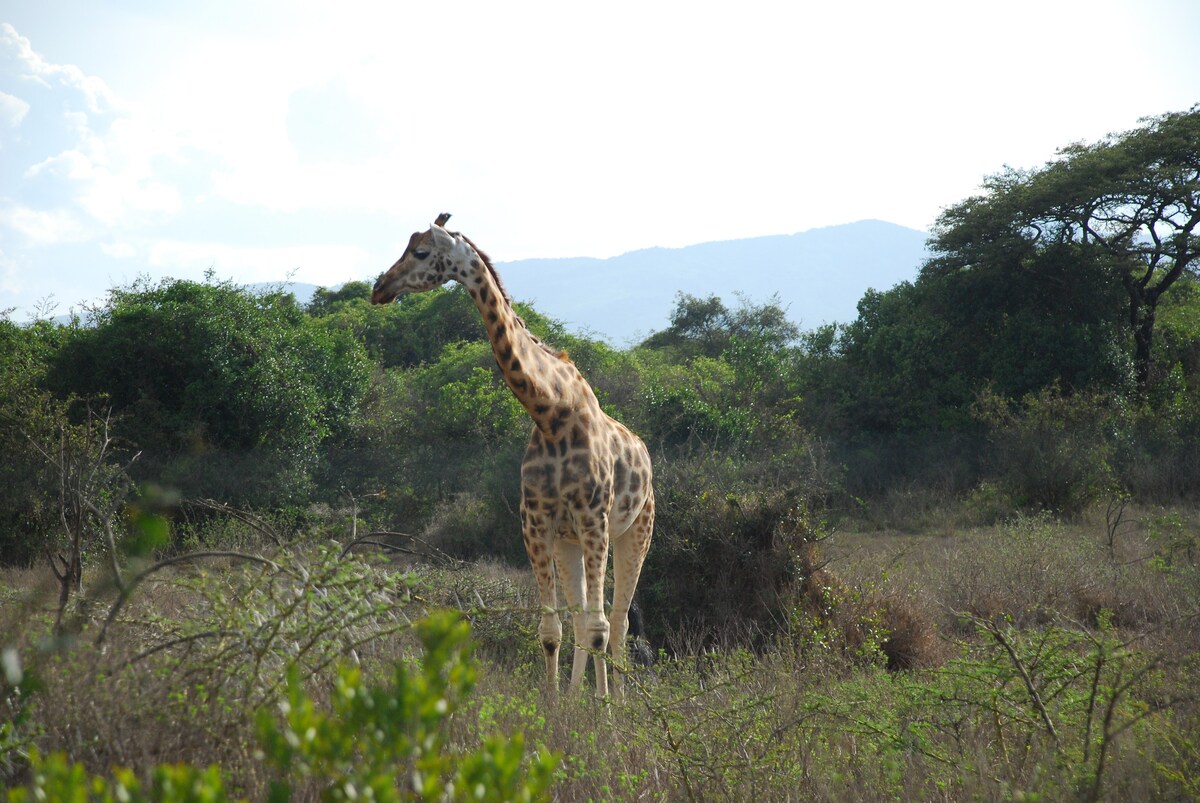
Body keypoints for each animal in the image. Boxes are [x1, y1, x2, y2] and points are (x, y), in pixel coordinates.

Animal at [374, 212, 657, 696]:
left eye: (422, 252)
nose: (380, 287)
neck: (551, 411)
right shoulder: (536, 522)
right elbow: (551, 631)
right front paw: (557, 706)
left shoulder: (593, 518)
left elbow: (600, 628)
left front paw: (601, 710)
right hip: (570, 543)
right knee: (583, 621)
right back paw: (580, 697)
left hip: (635, 530)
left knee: (616, 623)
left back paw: (616, 701)